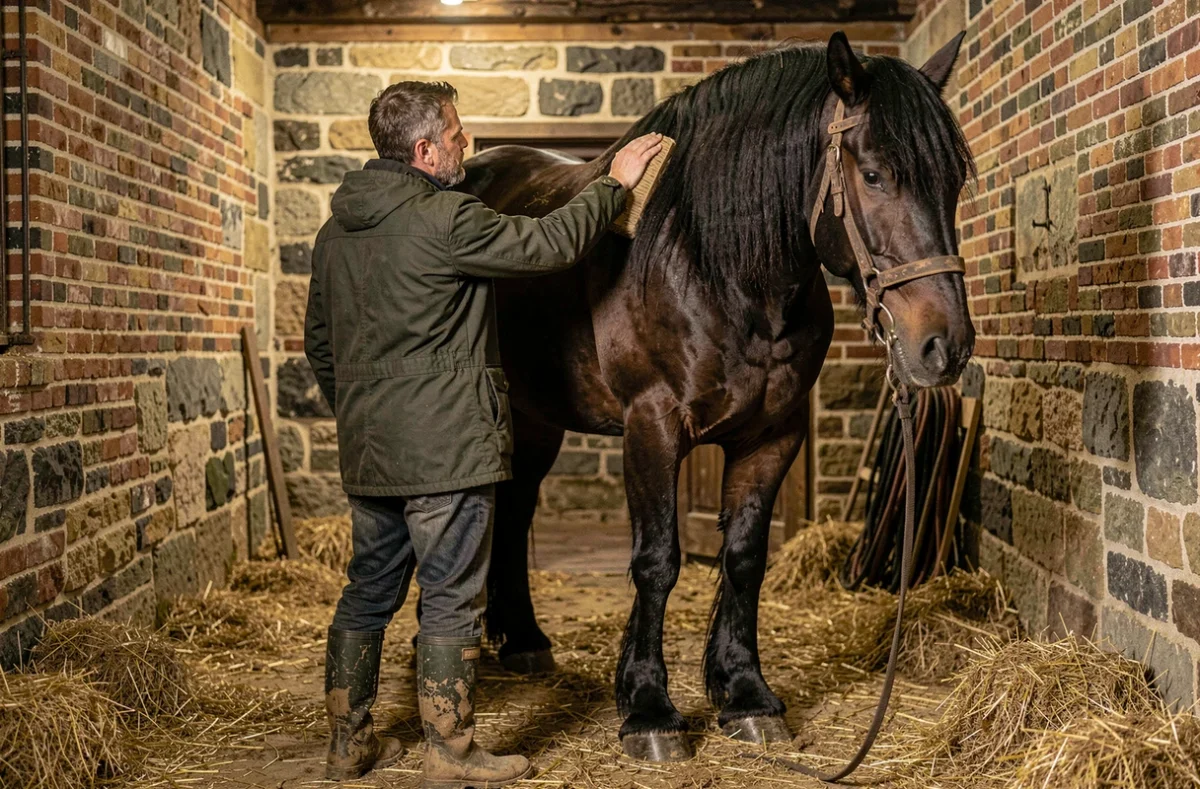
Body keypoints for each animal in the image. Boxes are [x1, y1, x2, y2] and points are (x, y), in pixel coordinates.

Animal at [458, 31, 976, 761]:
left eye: (954, 181)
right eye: (874, 174)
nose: (944, 345)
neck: (715, 264)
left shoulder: (772, 435)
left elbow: (744, 558)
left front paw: (745, 694)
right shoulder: (651, 426)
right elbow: (657, 561)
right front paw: (649, 709)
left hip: (536, 421)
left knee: (517, 507)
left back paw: (525, 640)